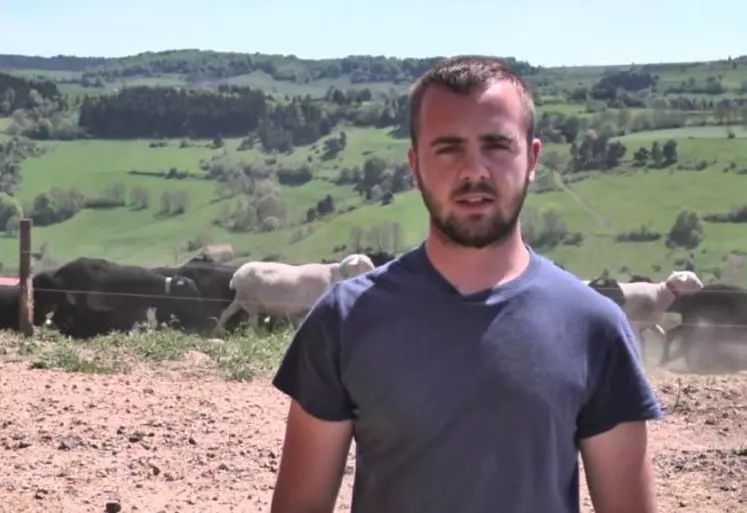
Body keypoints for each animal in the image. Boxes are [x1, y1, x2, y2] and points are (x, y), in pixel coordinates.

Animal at [212, 252, 374, 332]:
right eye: (366, 264)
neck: (336, 275)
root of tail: (236, 275)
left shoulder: (300, 311)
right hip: (251, 301)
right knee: (252, 321)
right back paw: (256, 335)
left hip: (240, 299)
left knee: (225, 313)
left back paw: (217, 332)